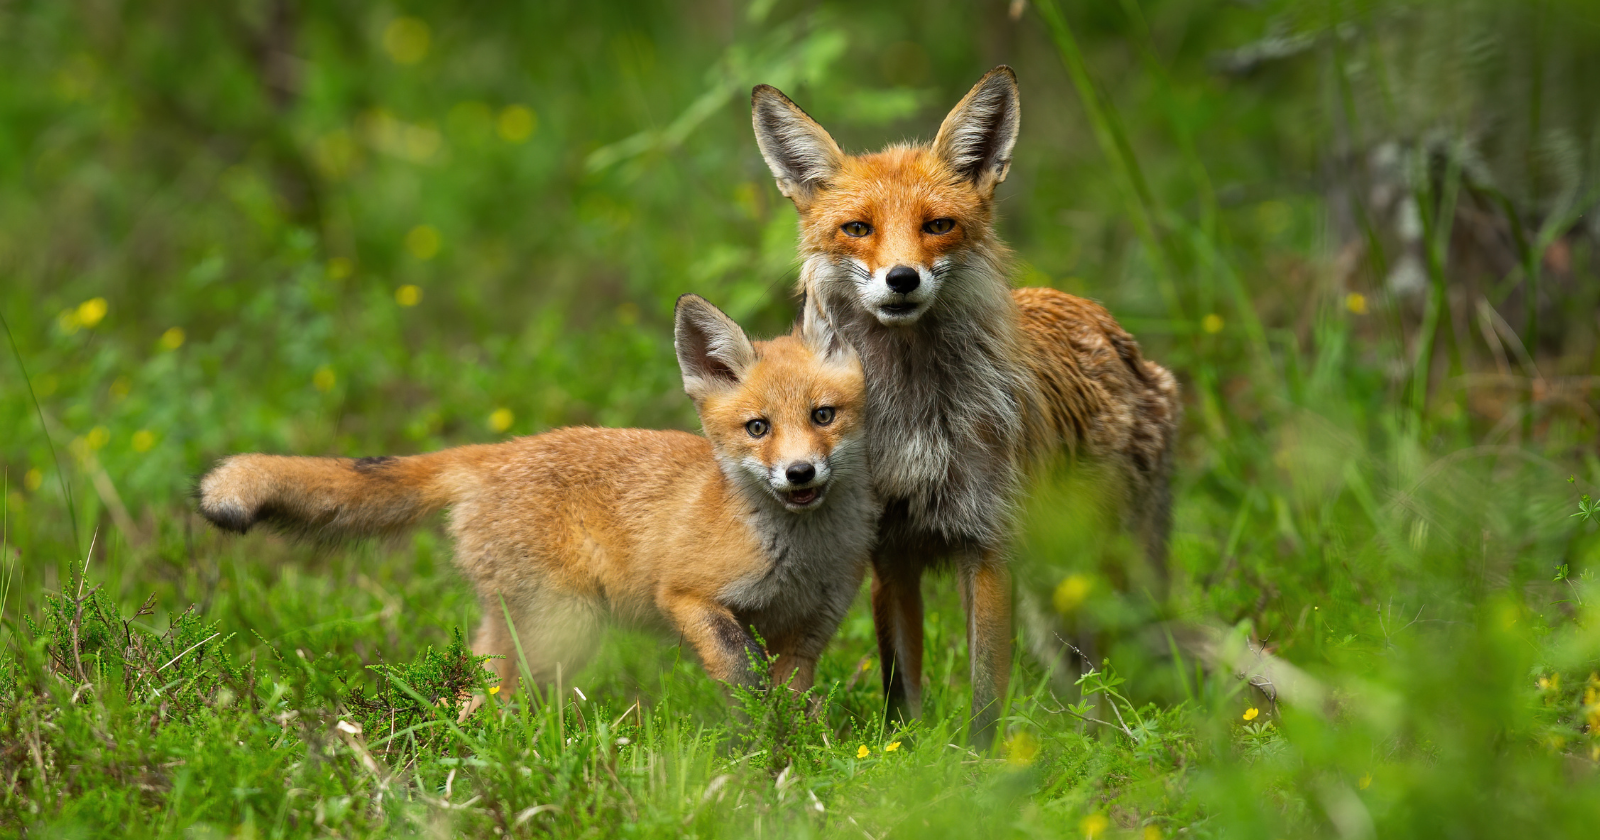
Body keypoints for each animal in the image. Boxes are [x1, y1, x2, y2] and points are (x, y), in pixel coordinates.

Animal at [200, 294, 883, 707]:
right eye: (758, 428)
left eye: (823, 416)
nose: (799, 473)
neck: (799, 557)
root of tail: (491, 453)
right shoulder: (687, 596)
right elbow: (743, 680)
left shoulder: (809, 633)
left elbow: (791, 708)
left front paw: (789, 762)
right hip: (563, 627)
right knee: (484, 702)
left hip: (518, 628)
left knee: (470, 688)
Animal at [748, 67, 1177, 745]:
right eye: (858, 229)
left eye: (938, 225)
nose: (901, 278)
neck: (913, 424)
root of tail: (1109, 327)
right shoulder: (888, 555)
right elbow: (901, 689)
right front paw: (909, 756)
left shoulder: (988, 545)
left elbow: (984, 695)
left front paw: (981, 766)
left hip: (1108, 565)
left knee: (1118, 662)